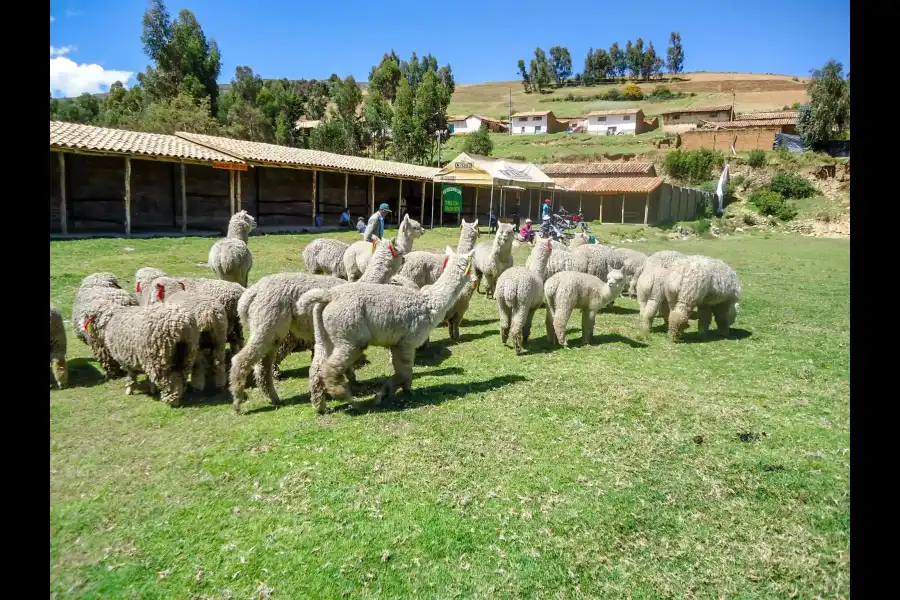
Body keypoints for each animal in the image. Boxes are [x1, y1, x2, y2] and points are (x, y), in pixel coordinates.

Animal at [298, 246, 478, 410]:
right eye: (471, 265)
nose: (475, 279)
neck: (428, 303)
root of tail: (329, 296)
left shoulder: (397, 342)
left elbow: (402, 370)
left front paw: (394, 391)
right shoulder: (408, 341)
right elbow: (405, 370)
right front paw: (387, 393)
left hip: (325, 336)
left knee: (316, 368)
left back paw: (320, 406)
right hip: (349, 337)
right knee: (330, 369)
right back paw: (346, 397)